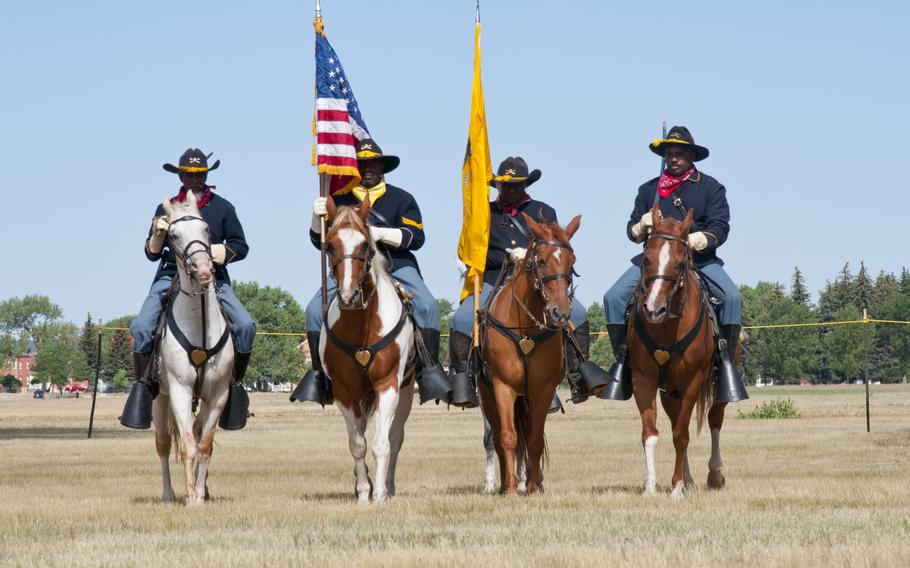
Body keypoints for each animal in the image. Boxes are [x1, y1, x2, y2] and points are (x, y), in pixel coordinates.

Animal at [153, 192, 233, 506]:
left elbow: (205, 445)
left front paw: (199, 493)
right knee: (163, 444)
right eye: (173, 234)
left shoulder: (218, 394)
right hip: (160, 397)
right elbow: (187, 445)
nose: (203, 270)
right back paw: (168, 494)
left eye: (206, 229)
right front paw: (189, 496)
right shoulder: (179, 390)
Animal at [322, 197, 418, 504]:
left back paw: (388, 486)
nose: (349, 296)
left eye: (366, 245)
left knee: (395, 437)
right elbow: (357, 444)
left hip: (406, 391)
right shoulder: (344, 391)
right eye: (330, 244)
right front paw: (364, 492)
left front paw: (379, 494)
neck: (361, 326)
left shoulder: (388, 385)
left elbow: (381, 444)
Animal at [480, 211, 580, 494]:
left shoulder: (542, 390)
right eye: (542, 260)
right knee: (497, 437)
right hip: (488, 397)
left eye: (572, 261)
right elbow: (508, 437)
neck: (525, 329)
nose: (560, 313)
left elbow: (534, 439)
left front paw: (534, 486)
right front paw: (512, 489)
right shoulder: (503, 387)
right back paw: (505, 484)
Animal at [632, 206, 732, 500]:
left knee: (714, 419)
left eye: (678, 263)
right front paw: (651, 486)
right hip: (670, 391)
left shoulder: (694, 380)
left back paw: (714, 474)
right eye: (647, 259)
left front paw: (676, 487)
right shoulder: (644, 379)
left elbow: (681, 435)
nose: (653, 310)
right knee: (678, 419)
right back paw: (688, 478)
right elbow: (651, 433)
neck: (668, 327)